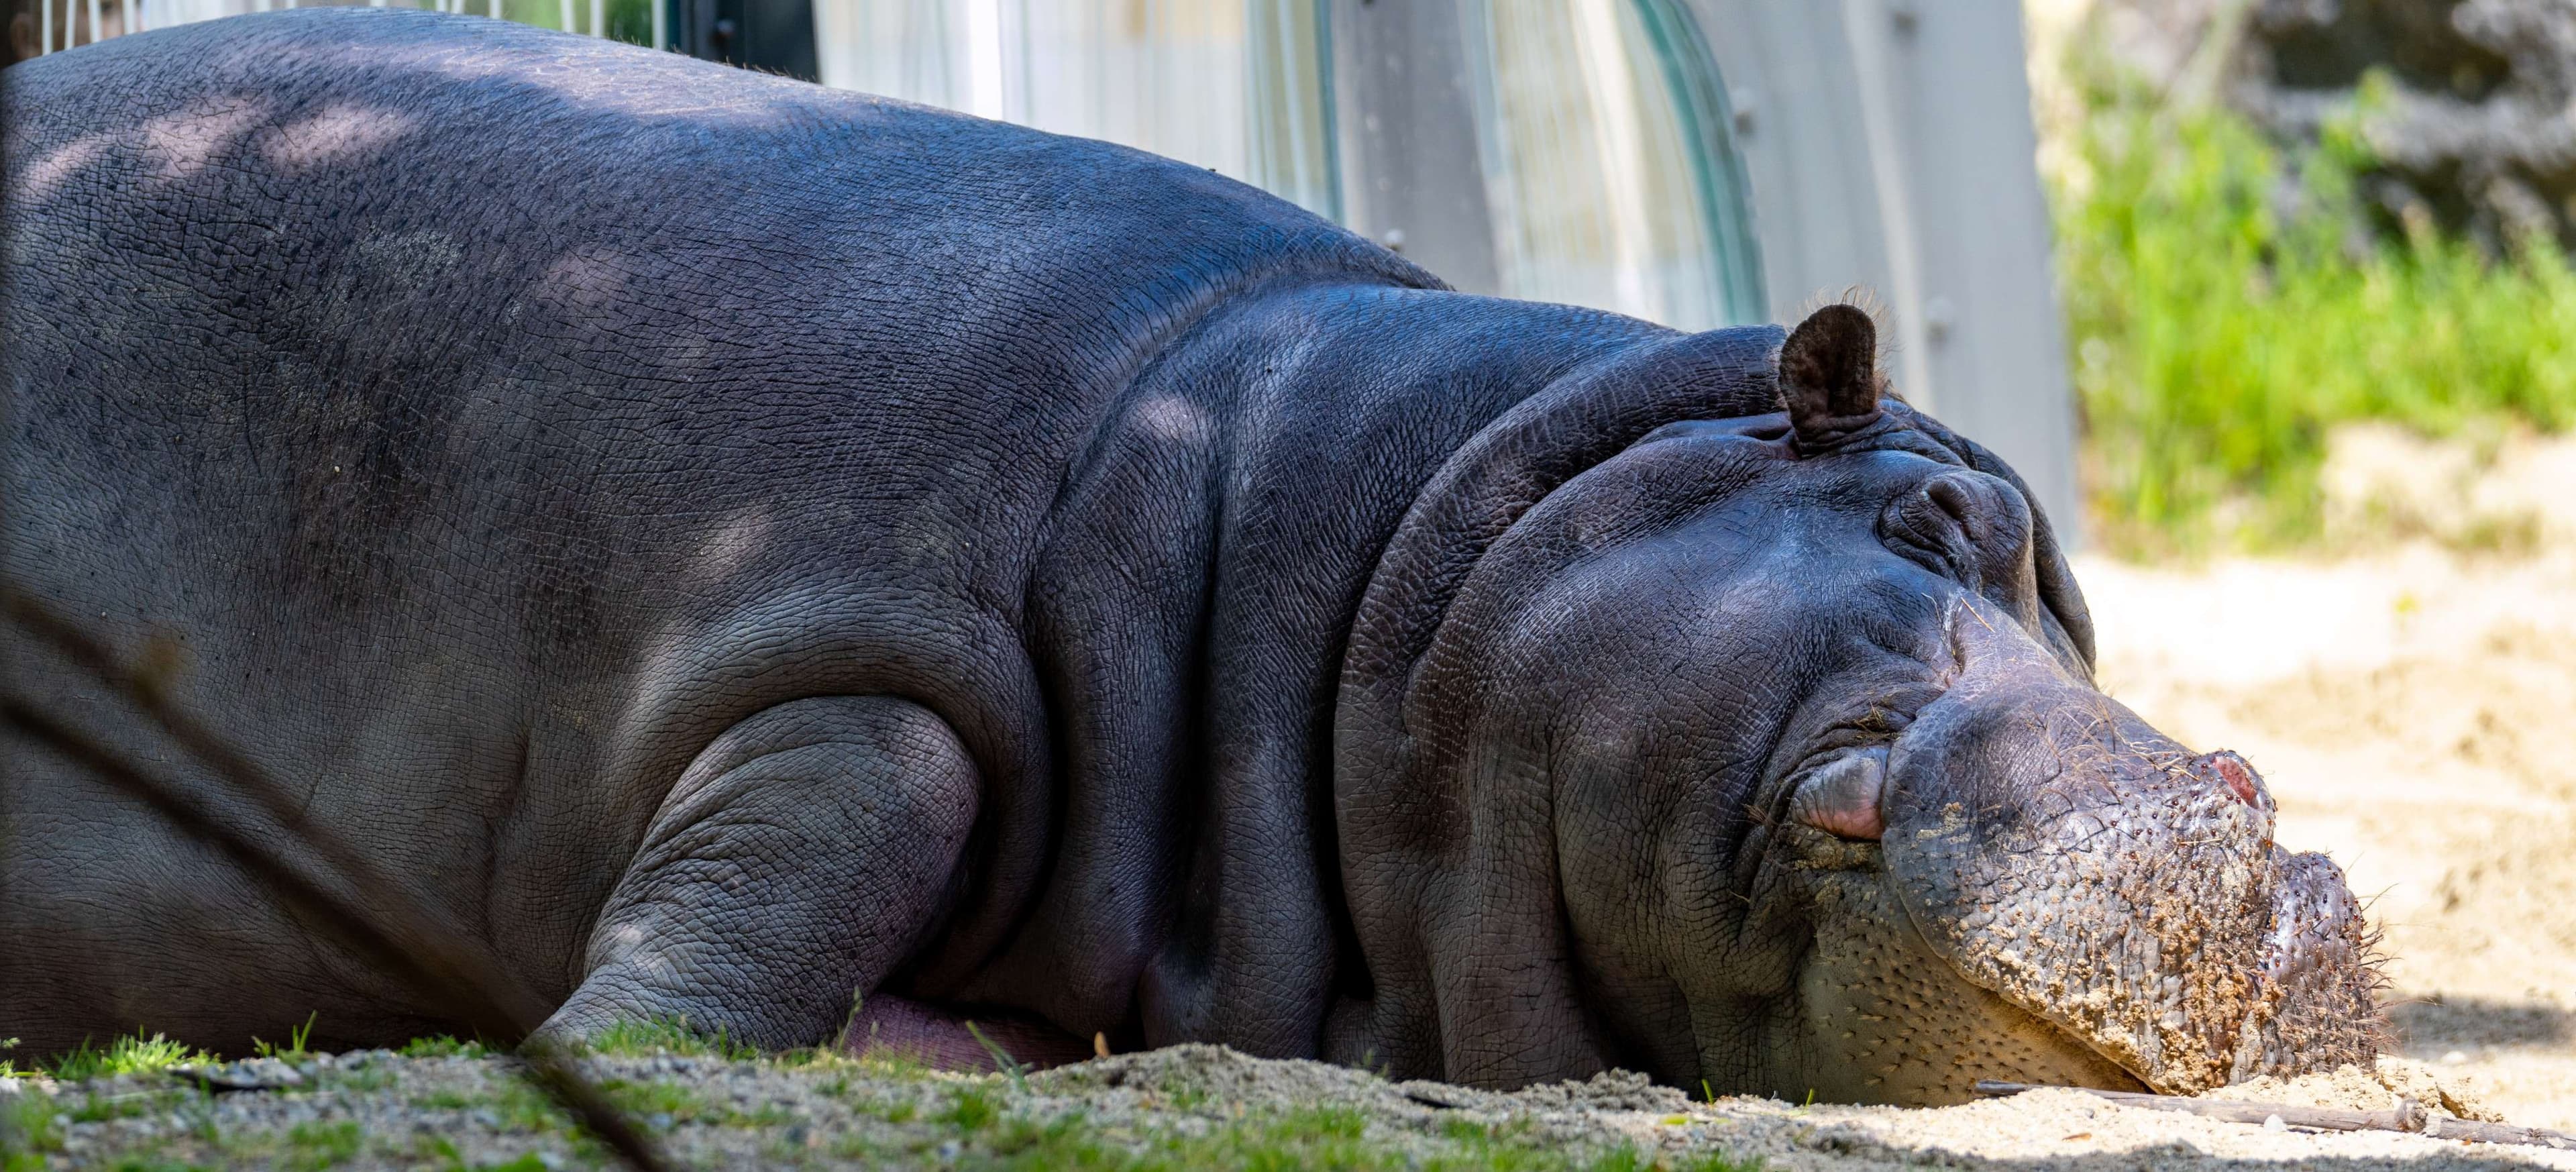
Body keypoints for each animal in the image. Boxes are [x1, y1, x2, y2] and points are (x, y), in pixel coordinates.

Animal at [1, 8, 2380, 1104]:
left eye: (2082, 606)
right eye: (1941, 515)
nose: (2258, 825)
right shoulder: (859, 628)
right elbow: (792, 859)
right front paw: (618, 1057)